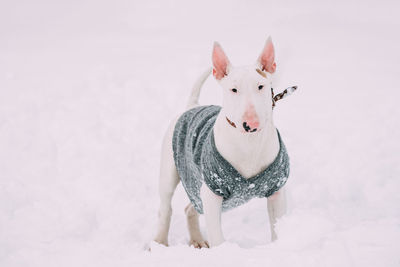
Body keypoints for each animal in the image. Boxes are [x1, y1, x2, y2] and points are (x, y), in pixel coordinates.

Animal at [154, 37, 290, 249]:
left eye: (261, 86)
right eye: (233, 89)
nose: (251, 124)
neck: (249, 143)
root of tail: (192, 106)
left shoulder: (276, 188)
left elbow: (277, 224)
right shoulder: (212, 191)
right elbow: (217, 236)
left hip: (197, 187)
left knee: (190, 207)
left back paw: (198, 240)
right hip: (170, 171)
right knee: (165, 207)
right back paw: (159, 242)